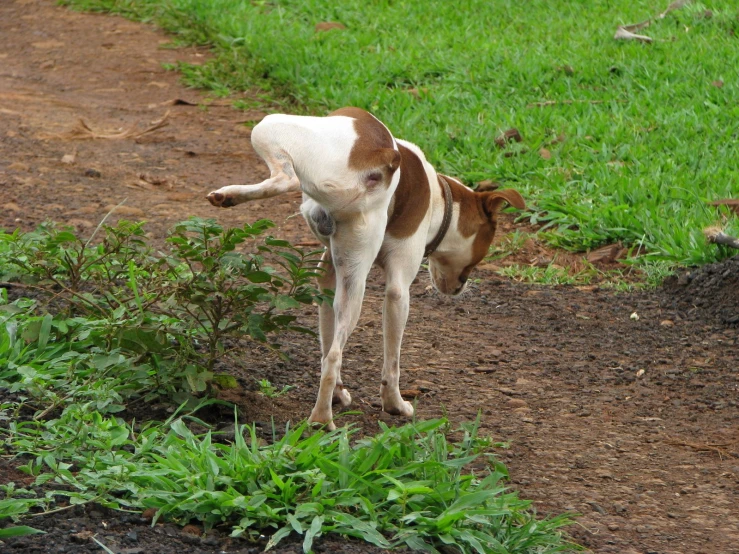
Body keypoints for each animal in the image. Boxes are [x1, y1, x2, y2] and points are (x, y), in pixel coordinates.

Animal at [205, 108, 524, 426]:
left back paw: (322, 418)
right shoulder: (397, 289)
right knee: (288, 179)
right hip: (273, 129)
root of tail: (384, 155)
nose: (460, 288)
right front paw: (395, 404)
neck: (439, 200)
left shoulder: (330, 275)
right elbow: (392, 362)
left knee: (333, 354)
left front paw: (346, 395)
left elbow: (330, 342)